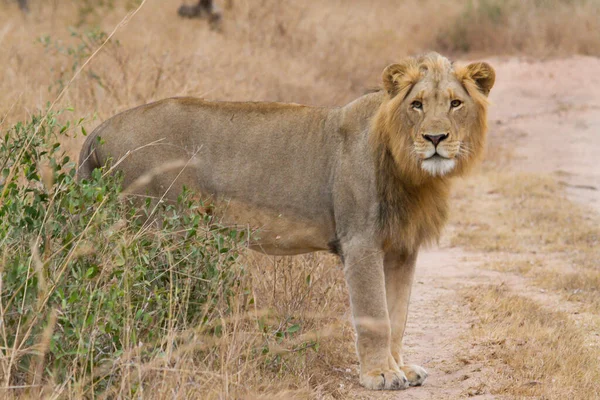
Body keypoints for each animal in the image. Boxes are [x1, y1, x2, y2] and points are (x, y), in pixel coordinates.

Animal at [77, 51, 494, 390]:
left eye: (456, 103)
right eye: (418, 105)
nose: (436, 138)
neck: (411, 170)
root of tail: (100, 129)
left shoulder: (402, 250)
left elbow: (398, 314)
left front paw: (401, 368)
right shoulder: (361, 242)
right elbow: (376, 316)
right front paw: (380, 375)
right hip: (156, 228)